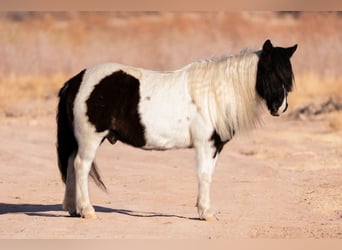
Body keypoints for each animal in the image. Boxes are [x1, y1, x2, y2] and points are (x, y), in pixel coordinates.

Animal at [56, 39, 296, 221]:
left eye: (287, 77)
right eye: (271, 72)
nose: (280, 107)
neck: (213, 94)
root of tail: (76, 80)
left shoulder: (215, 147)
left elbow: (209, 175)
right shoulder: (205, 145)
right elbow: (204, 175)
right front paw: (206, 213)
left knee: (70, 162)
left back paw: (72, 208)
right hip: (90, 138)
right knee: (80, 166)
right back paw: (87, 210)